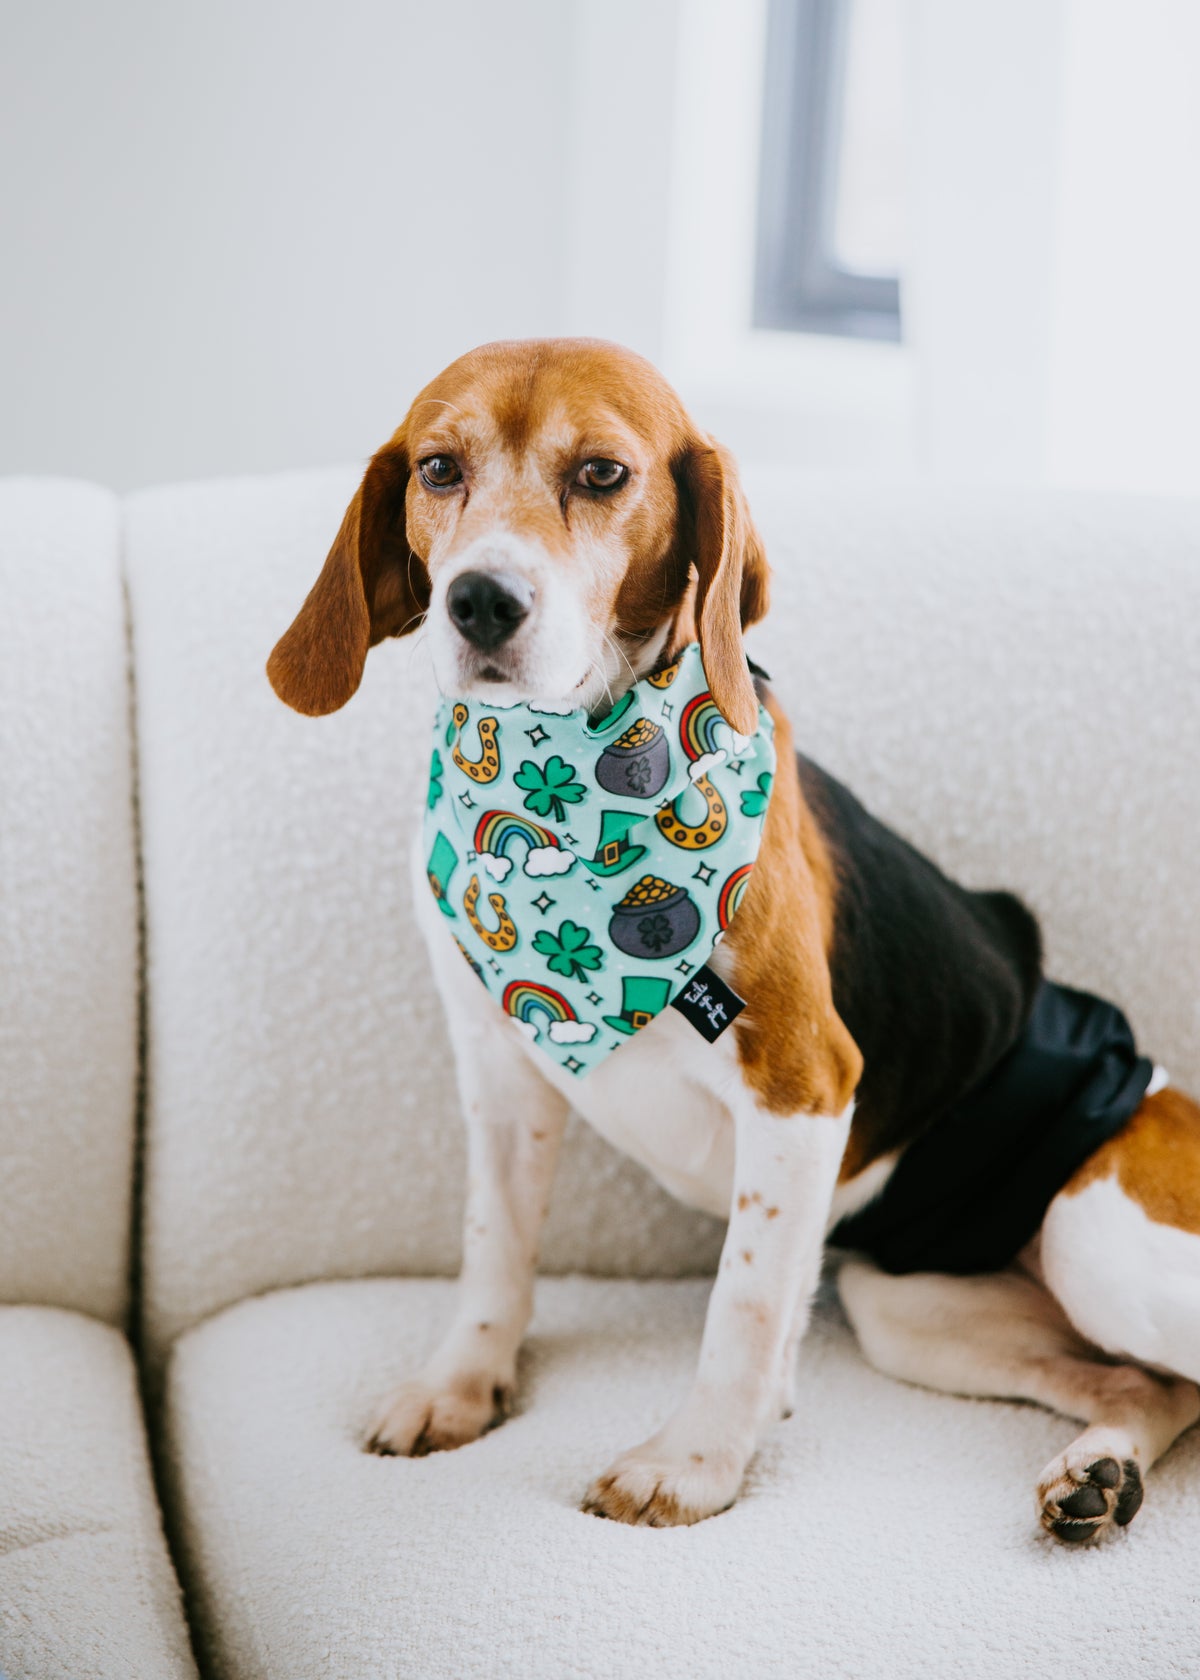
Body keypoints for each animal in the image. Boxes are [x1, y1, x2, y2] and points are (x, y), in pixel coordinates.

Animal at [268, 341, 1196, 1545]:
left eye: (603, 474)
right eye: (437, 468)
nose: (480, 600)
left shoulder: (803, 1086)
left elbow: (744, 1306)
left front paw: (695, 1461)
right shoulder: (502, 1078)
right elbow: (493, 1253)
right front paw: (462, 1386)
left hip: (1097, 1235)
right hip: (910, 1304)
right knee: (1153, 1385)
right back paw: (1098, 1472)